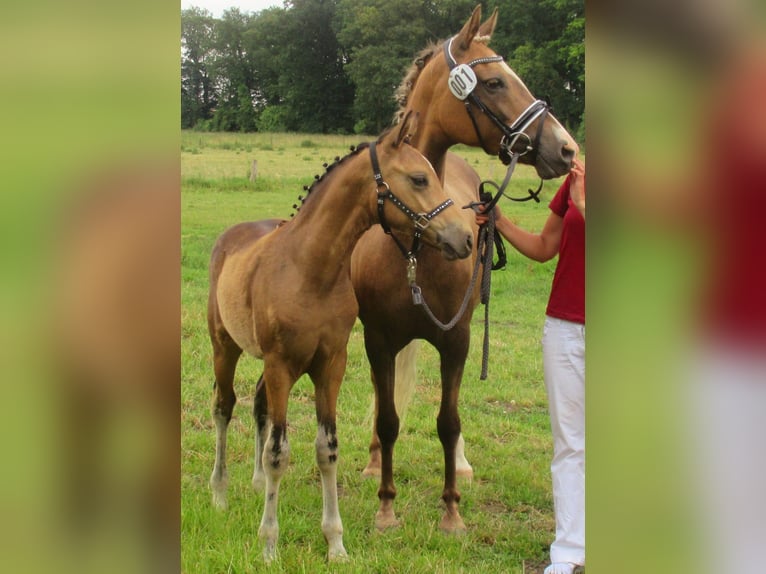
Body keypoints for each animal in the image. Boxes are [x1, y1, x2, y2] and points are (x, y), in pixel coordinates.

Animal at [204, 112, 474, 564]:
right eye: (419, 178)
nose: (465, 238)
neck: (311, 269)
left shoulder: (331, 364)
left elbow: (326, 448)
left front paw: (335, 543)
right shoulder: (281, 365)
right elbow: (279, 452)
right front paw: (269, 544)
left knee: (257, 404)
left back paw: (256, 484)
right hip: (225, 346)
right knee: (224, 407)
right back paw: (220, 494)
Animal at [352, 5, 580, 536]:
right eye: (494, 82)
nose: (565, 149)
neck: (414, 245)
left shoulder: (457, 340)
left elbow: (448, 420)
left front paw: (451, 510)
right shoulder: (378, 338)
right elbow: (388, 417)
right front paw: (385, 505)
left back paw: (461, 464)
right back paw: (373, 459)